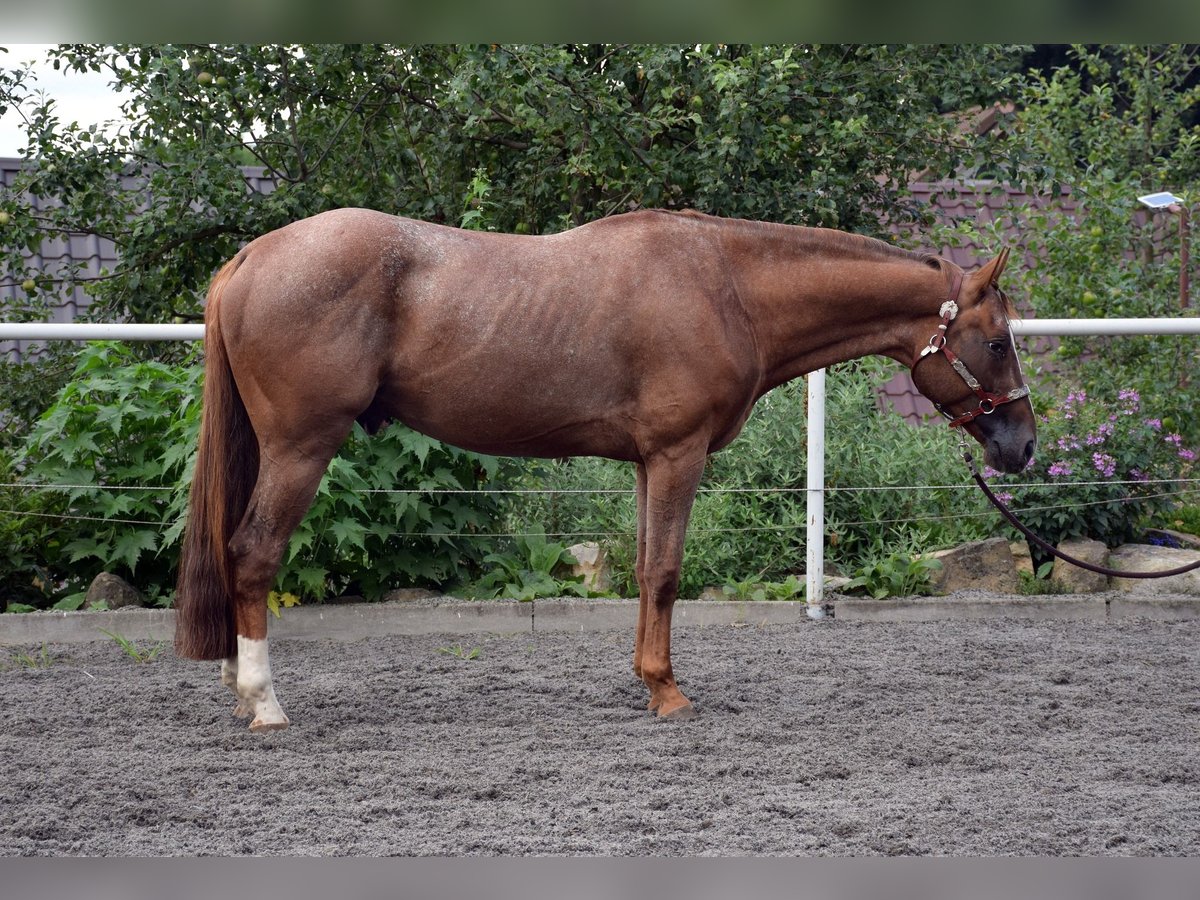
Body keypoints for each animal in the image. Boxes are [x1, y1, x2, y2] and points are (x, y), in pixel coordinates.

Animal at [174, 207, 1036, 729]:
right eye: (997, 341)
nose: (1022, 445)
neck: (726, 285)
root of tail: (253, 256)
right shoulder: (678, 453)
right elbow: (666, 572)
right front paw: (668, 693)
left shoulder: (648, 461)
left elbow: (650, 570)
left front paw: (648, 680)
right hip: (301, 448)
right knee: (254, 553)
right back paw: (265, 703)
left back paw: (238, 690)